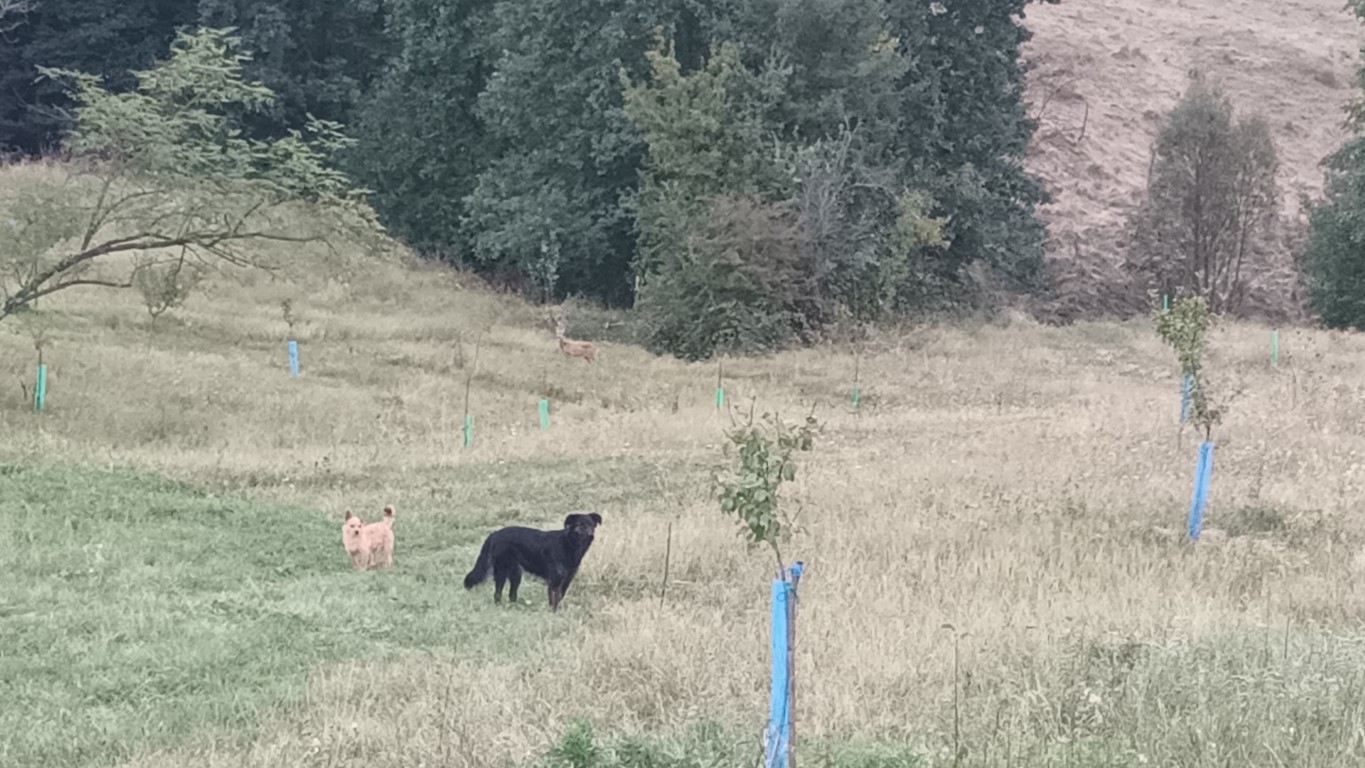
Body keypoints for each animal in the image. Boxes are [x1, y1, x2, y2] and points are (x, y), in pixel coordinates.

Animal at [464, 510, 603, 613]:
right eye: (580, 524)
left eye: (591, 524)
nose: (590, 534)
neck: (569, 544)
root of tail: (495, 533)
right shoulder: (554, 581)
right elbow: (554, 601)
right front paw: (553, 615)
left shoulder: (567, 580)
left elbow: (559, 598)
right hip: (502, 571)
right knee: (497, 594)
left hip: (516, 575)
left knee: (512, 595)